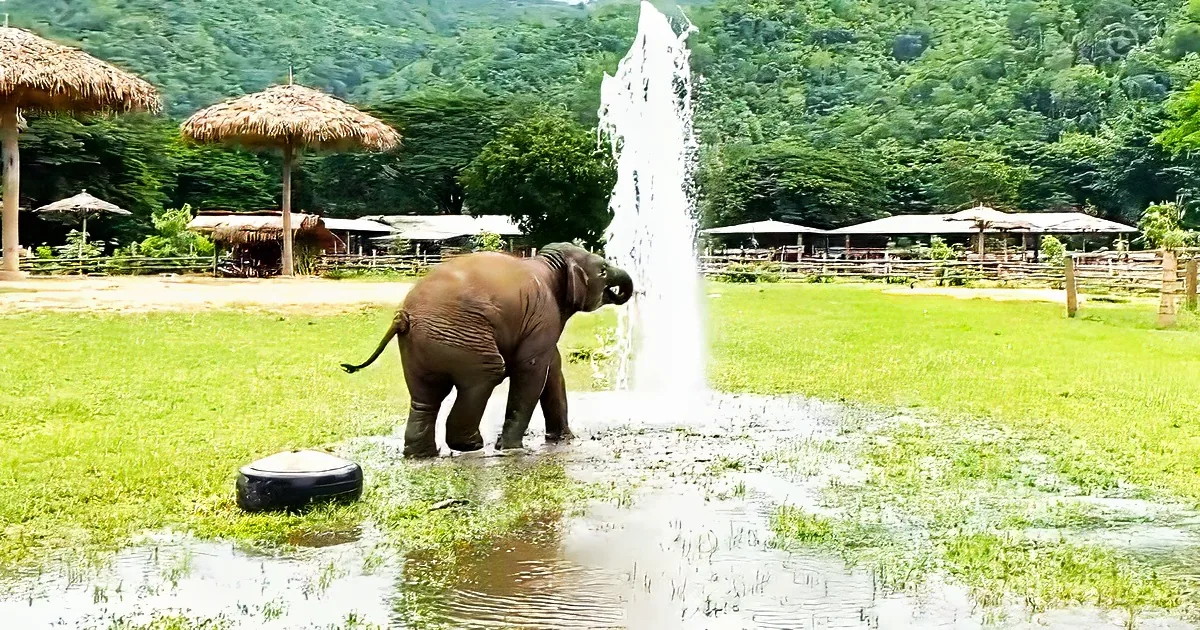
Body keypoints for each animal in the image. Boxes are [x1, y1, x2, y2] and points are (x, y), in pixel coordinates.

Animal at [340, 243, 634, 458]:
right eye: (604, 270)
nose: (621, 291)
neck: (550, 262)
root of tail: (404, 316)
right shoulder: (543, 313)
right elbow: (531, 371)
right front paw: (510, 448)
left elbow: (552, 369)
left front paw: (564, 440)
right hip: (461, 338)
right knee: (485, 377)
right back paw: (471, 445)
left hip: (420, 348)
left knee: (425, 396)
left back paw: (422, 454)